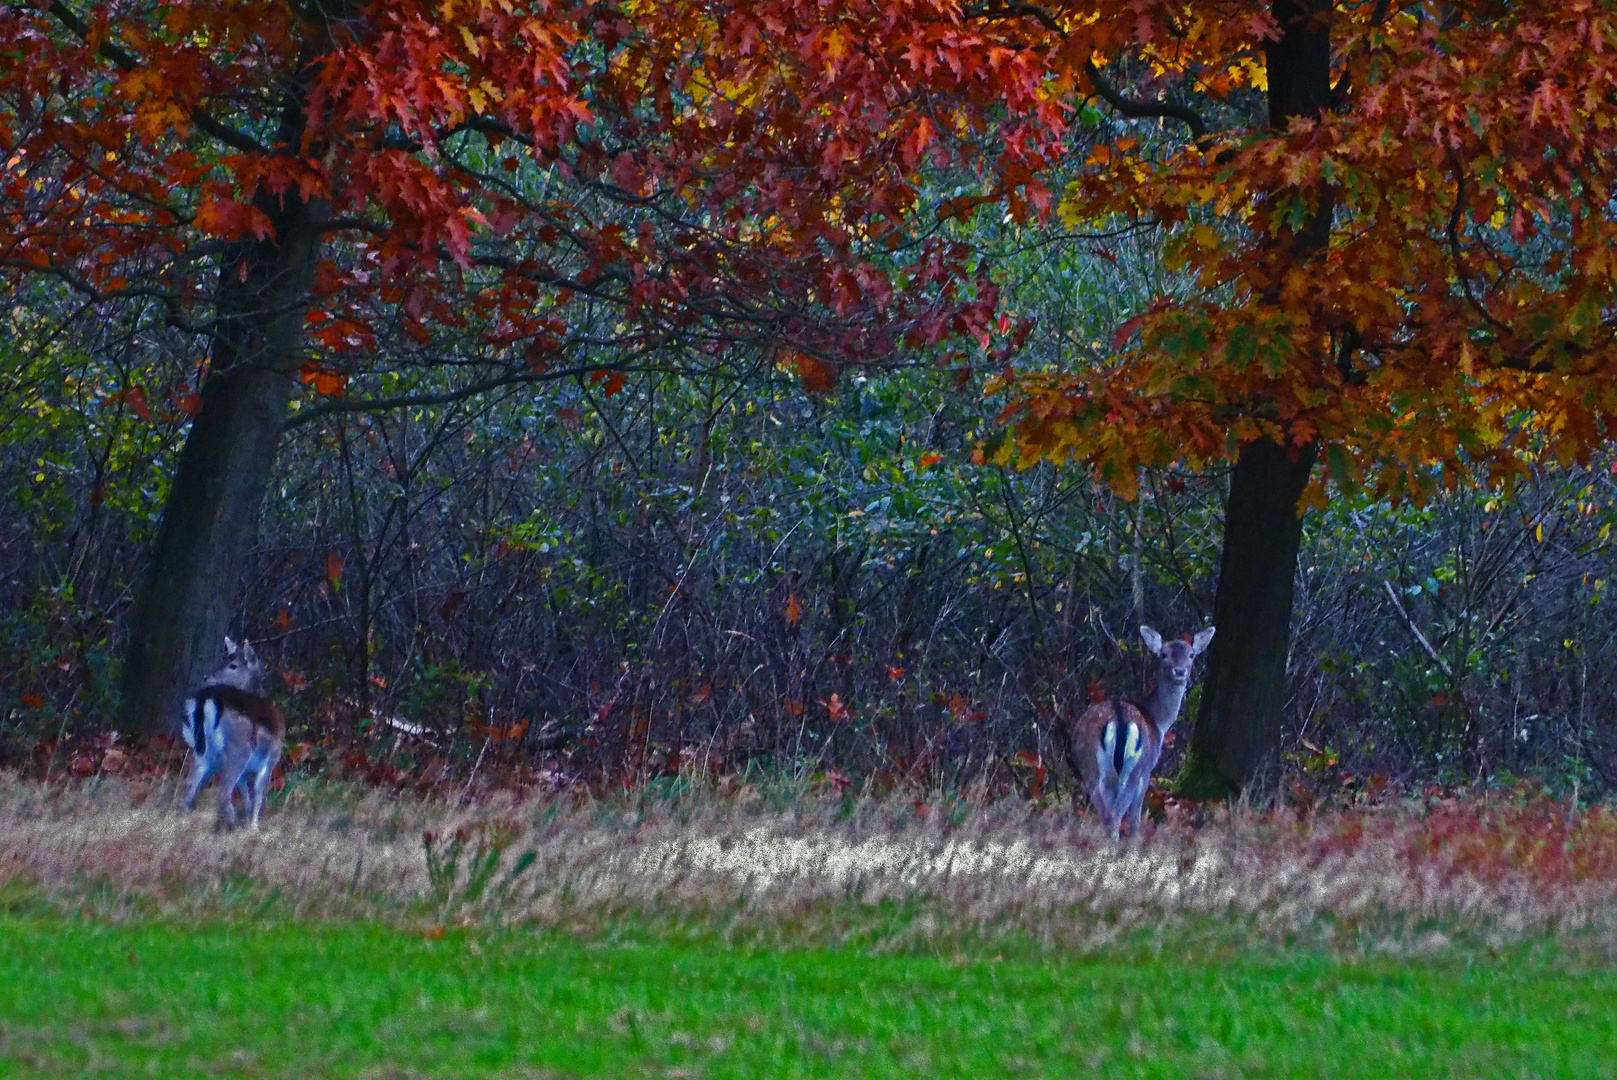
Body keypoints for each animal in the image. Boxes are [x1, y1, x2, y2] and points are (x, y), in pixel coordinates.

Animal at [181, 637, 286, 834]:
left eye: (232, 665)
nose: (207, 677)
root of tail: (205, 701)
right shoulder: (271, 758)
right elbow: (258, 793)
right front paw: (253, 828)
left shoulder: (246, 772)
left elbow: (246, 796)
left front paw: (248, 822)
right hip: (239, 749)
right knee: (223, 791)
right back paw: (230, 824)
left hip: (199, 751)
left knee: (189, 786)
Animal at [1060, 624, 1215, 840]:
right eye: (1163, 654)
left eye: (1191, 655)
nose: (1180, 671)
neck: (1159, 721)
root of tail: (1119, 717)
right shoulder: (1148, 769)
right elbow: (1136, 817)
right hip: (1135, 768)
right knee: (1116, 814)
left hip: (1091, 765)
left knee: (1106, 813)